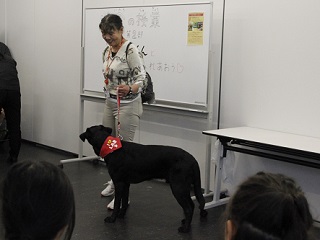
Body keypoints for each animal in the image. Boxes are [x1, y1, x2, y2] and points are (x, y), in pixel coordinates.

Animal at [80, 125, 208, 232]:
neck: (111, 147)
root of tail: (192, 159)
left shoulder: (119, 183)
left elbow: (117, 203)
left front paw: (112, 219)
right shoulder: (126, 184)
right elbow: (124, 202)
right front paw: (121, 216)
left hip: (178, 187)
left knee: (188, 208)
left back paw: (185, 229)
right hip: (184, 187)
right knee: (191, 205)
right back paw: (186, 222)